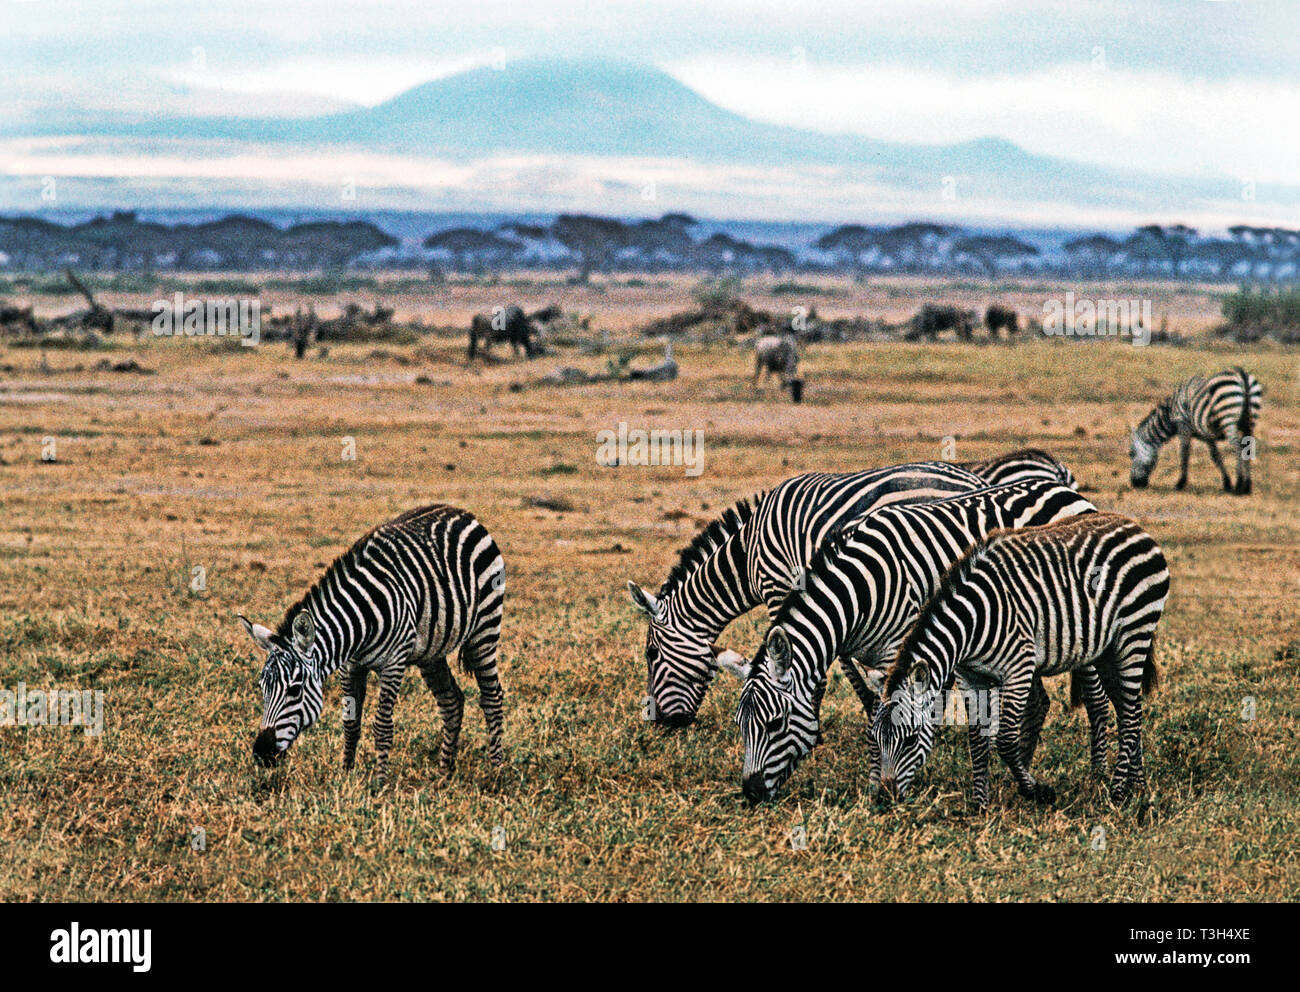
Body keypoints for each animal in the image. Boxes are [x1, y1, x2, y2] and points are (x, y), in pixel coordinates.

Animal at [241, 507, 504, 780]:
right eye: (262, 687)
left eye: (294, 690)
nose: (261, 753)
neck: (359, 625)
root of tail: (462, 513)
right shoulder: (350, 667)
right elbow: (350, 723)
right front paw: (346, 774)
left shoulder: (393, 664)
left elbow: (383, 726)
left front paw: (380, 781)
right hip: (432, 651)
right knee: (451, 702)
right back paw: (443, 774)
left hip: (485, 630)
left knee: (492, 698)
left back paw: (496, 772)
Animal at [624, 462, 977, 728]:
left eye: (651, 654)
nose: (661, 723)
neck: (747, 556)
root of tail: (973, 479)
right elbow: (843, 659)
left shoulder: (779, 588)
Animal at [728, 481, 1102, 806]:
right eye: (740, 725)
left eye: (775, 724)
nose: (751, 793)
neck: (860, 590)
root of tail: (1063, 489)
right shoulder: (862, 657)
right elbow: (875, 714)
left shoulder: (897, 650)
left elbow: (884, 717)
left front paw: (878, 784)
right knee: (1038, 700)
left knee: (1095, 701)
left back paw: (1097, 779)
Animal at [873, 514, 1170, 811]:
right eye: (876, 740)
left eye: (910, 740)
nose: (886, 798)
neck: (972, 623)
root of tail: (1134, 525)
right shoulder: (971, 677)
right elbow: (977, 740)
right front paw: (980, 804)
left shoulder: (1019, 668)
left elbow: (1005, 741)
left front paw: (1037, 791)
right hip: (1106, 650)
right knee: (1127, 708)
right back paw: (1137, 784)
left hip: (1134, 633)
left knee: (1130, 713)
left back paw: (1118, 791)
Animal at [1128, 366, 1258, 494]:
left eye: (1131, 453)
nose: (1135, 484)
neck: (1170, 414)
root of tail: (1241, 374)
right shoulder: (1207, 434)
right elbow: (1216, 456)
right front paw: (1227, 483)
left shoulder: (1183, 426)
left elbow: (1184, 453)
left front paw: (1180, 483)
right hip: (1249, 422)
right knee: (1247, 448)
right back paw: (1247, 486)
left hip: (1228, 420)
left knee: (1238, 448)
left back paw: (1239, 485)